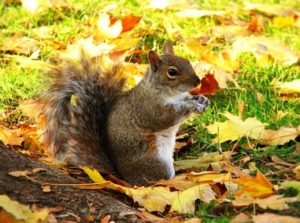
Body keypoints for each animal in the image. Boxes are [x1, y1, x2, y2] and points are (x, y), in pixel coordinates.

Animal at [39, 42, 209, 186]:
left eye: (187, 61)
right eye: (172, 72)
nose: (197, 82)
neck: (172, 94)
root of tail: (124, 178)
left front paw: (202, 99)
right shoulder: (149, 107)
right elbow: (167, 117)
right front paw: (192, 106)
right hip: (156, 162)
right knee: (157, 181)